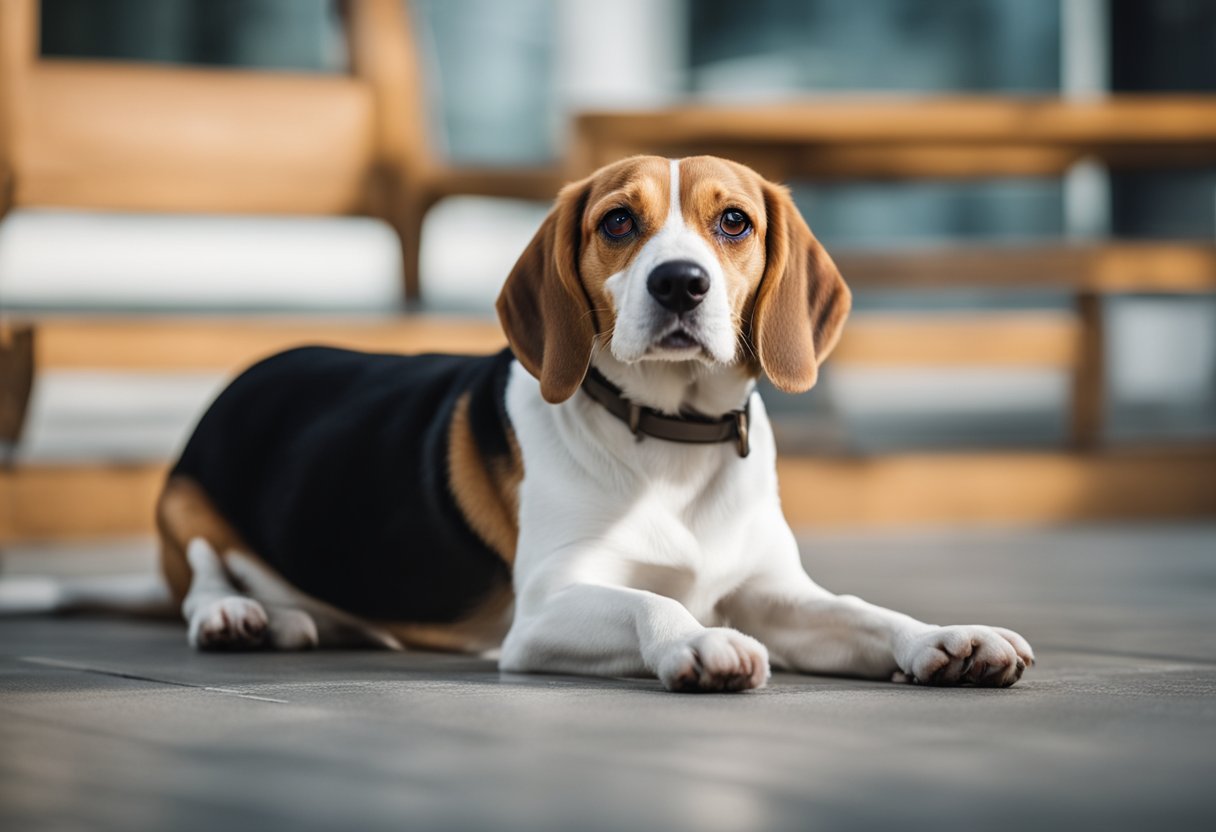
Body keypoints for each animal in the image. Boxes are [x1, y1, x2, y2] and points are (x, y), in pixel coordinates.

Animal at [149, 155, 1026, 690]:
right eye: (617, 223)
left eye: (734, 222)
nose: (680, 283)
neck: (673, 440)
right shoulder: (544, 608)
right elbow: (649, 603)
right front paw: (696, 641)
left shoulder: (774, 592)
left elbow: (862, 612)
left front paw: (946, 637)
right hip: (182, 505)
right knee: (201, 578)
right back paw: (237, 615)